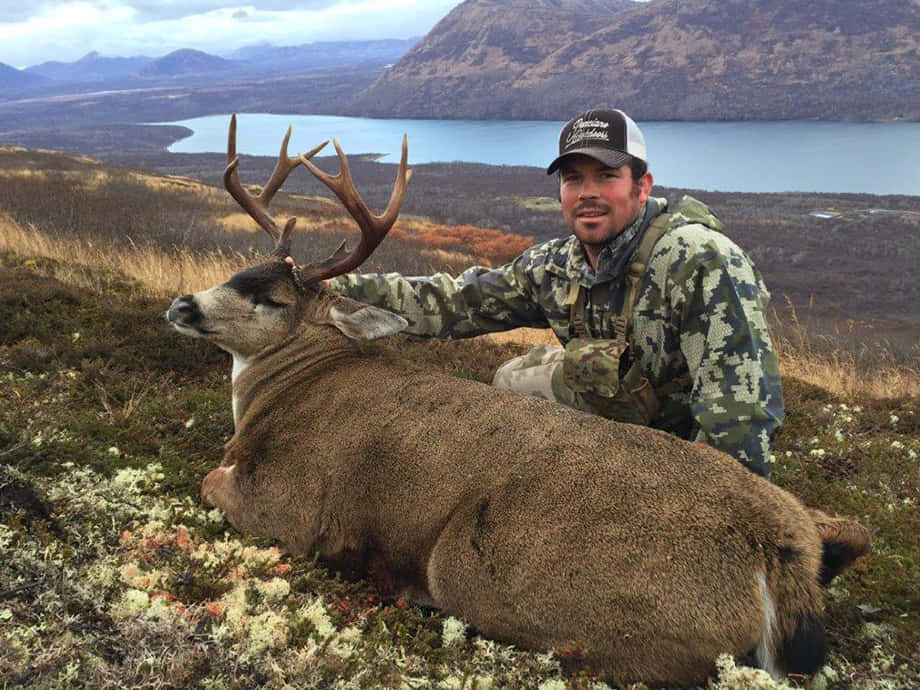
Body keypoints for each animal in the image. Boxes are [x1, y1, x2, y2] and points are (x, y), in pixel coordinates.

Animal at [166, 116, 870, 688]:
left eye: (271, 298)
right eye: (239, 271)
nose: (182, 304)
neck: (289, 387)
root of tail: (778, 558)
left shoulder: (293, 505)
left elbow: (209, 479)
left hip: (490, 571)